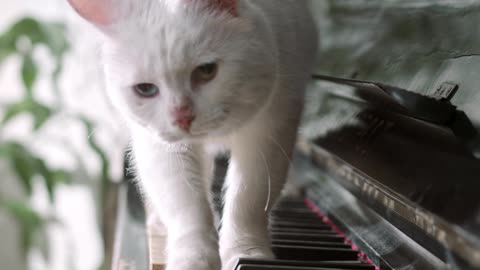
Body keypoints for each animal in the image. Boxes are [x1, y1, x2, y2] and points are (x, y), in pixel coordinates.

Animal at [65, 0, 316, 268]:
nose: (182, 117)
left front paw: (247, 252)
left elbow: (249, 200)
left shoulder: (271, 129)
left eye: (206, 70)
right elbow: (187, 207)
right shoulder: (162, 147)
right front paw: (194, 259)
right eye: (145, 89)